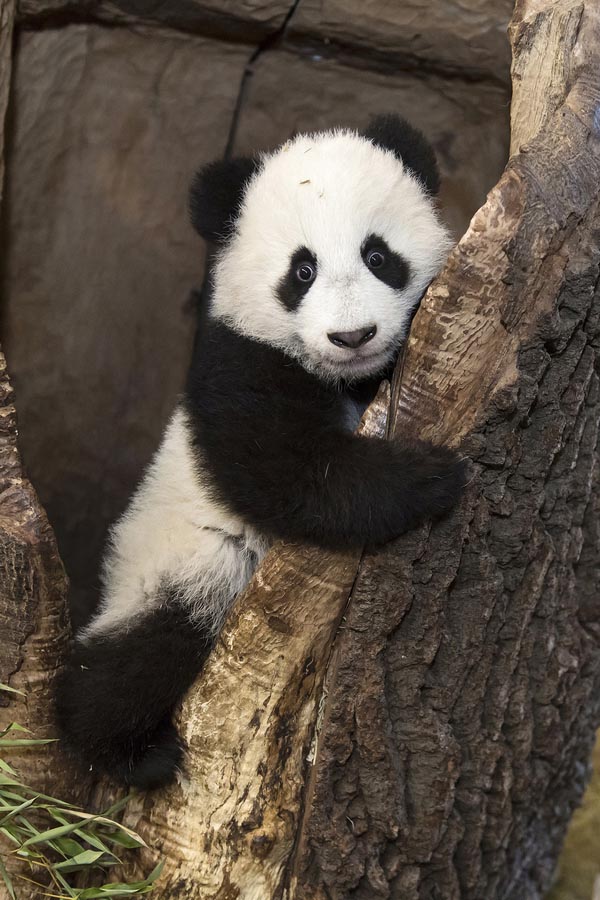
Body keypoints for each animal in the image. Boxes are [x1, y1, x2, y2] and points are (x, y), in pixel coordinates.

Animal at [55, 114, 467, 791]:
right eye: (301, 272)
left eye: (378, 256)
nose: (353, 336)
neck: (347, 379)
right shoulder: (237, 366)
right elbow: (286, 473)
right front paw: (431, 476)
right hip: (182, 569)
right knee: (137, 659)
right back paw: (130, 751)